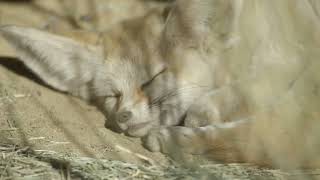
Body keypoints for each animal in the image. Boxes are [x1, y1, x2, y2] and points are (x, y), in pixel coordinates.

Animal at [0, 0, 320, 169]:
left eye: (150, 80)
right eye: (112, 96)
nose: (122, 117)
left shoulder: (294, 51)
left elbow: (259, 86)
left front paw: (206, 110)